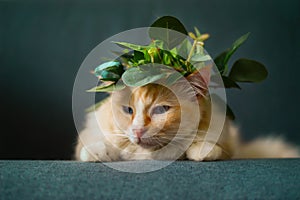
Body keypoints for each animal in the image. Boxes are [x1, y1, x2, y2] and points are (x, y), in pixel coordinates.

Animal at [74, 66, 298, 162]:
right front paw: (98, 152)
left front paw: (200, 151)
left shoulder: (226, 138)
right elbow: (94, 146)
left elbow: (209, 147)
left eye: (161, 110)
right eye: (128, 110)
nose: (137, 130)